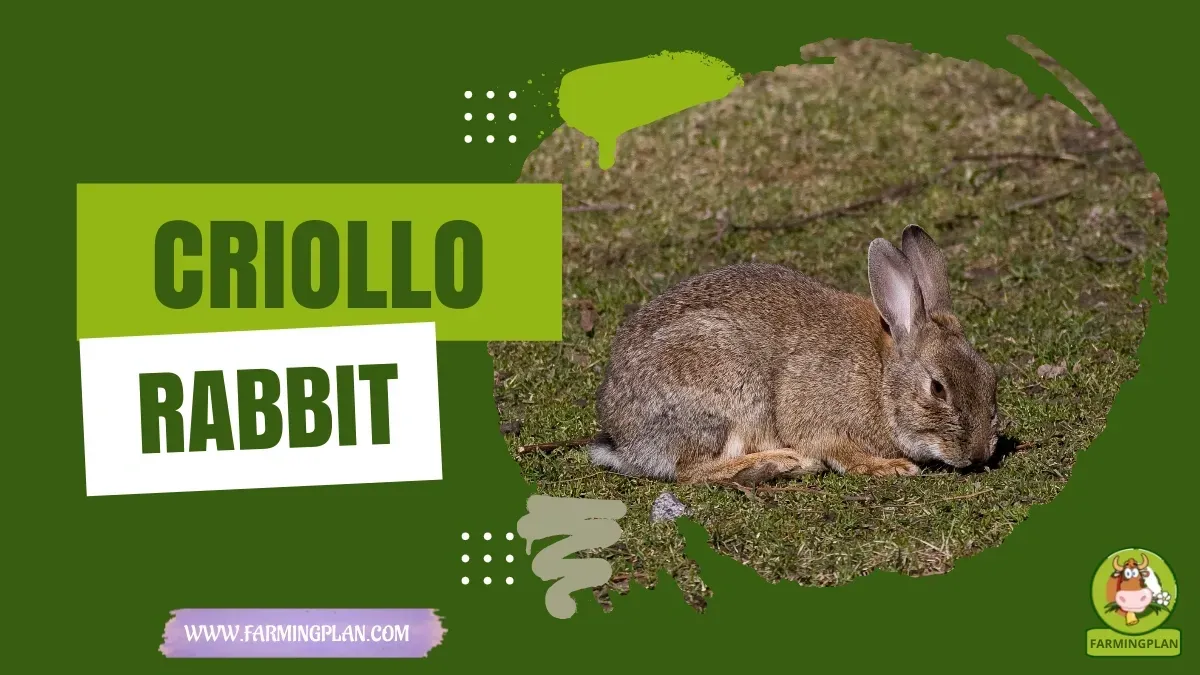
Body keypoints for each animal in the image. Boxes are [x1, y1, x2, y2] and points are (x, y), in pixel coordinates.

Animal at [588, 224, 998, 485]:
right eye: (937, 388)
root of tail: (626, 442)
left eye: (990, 376)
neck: (881, 376)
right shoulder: (814, 412)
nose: (979, 454)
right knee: (690, 471)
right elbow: (837, 449)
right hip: (725, 395)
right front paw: (890, 468)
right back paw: (781, 463)